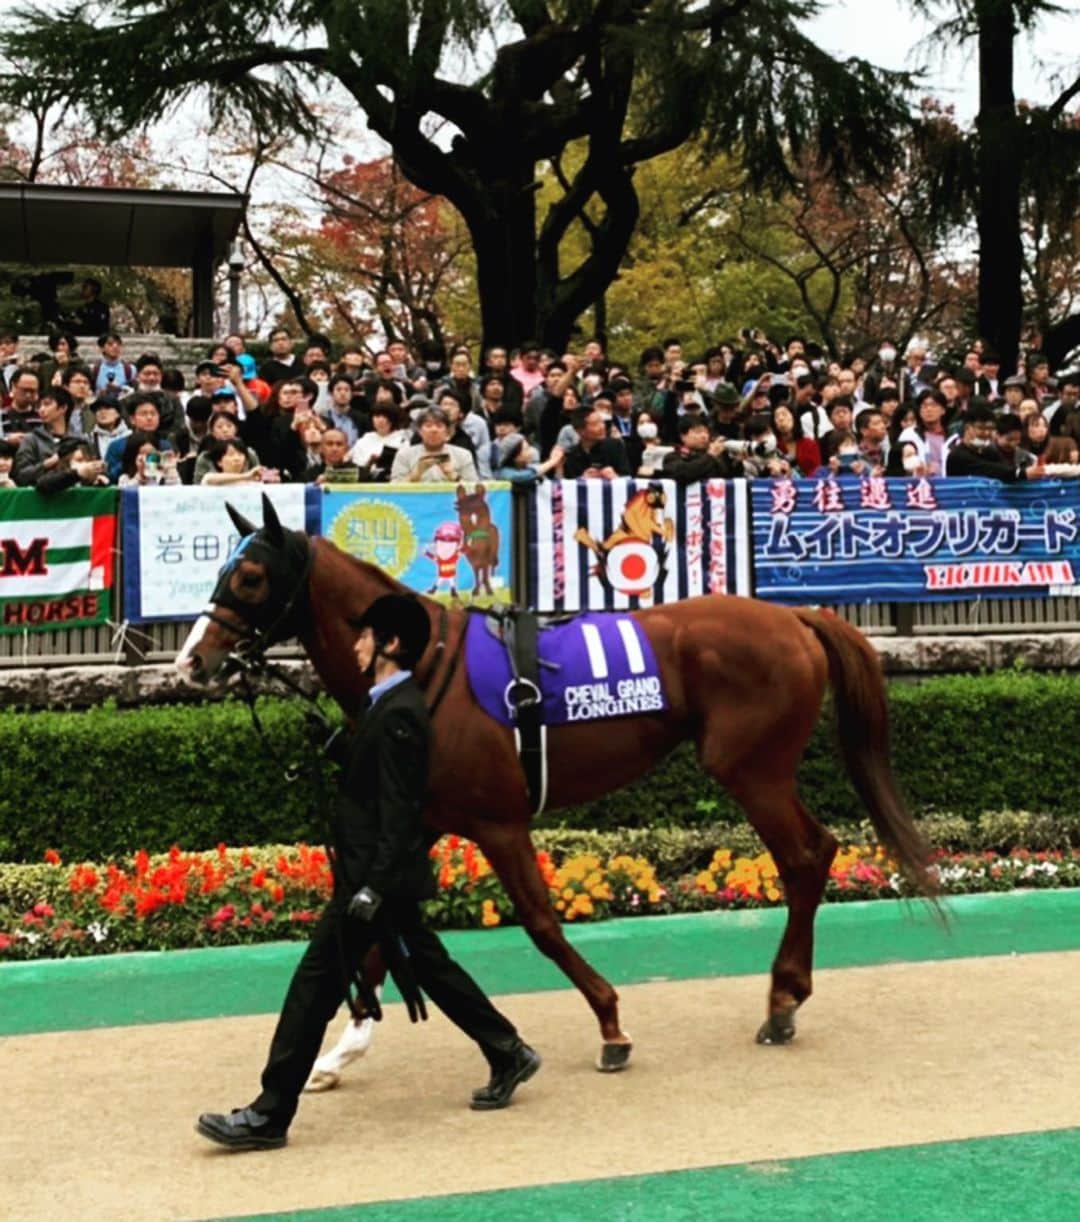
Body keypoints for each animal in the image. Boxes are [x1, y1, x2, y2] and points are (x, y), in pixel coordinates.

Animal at [174, 493, 928, 1070]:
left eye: (249, 578)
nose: (192, 661)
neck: (422, 663)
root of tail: (796, 615)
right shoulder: (422, 817)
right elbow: (373, 926)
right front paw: (338, 1051)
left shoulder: (498, 821)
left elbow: (539, 921)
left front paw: (610, 1025)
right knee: (817, 852)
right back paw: (786, 997)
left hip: (751, 769)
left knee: (804, 857)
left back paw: (780, 1001)